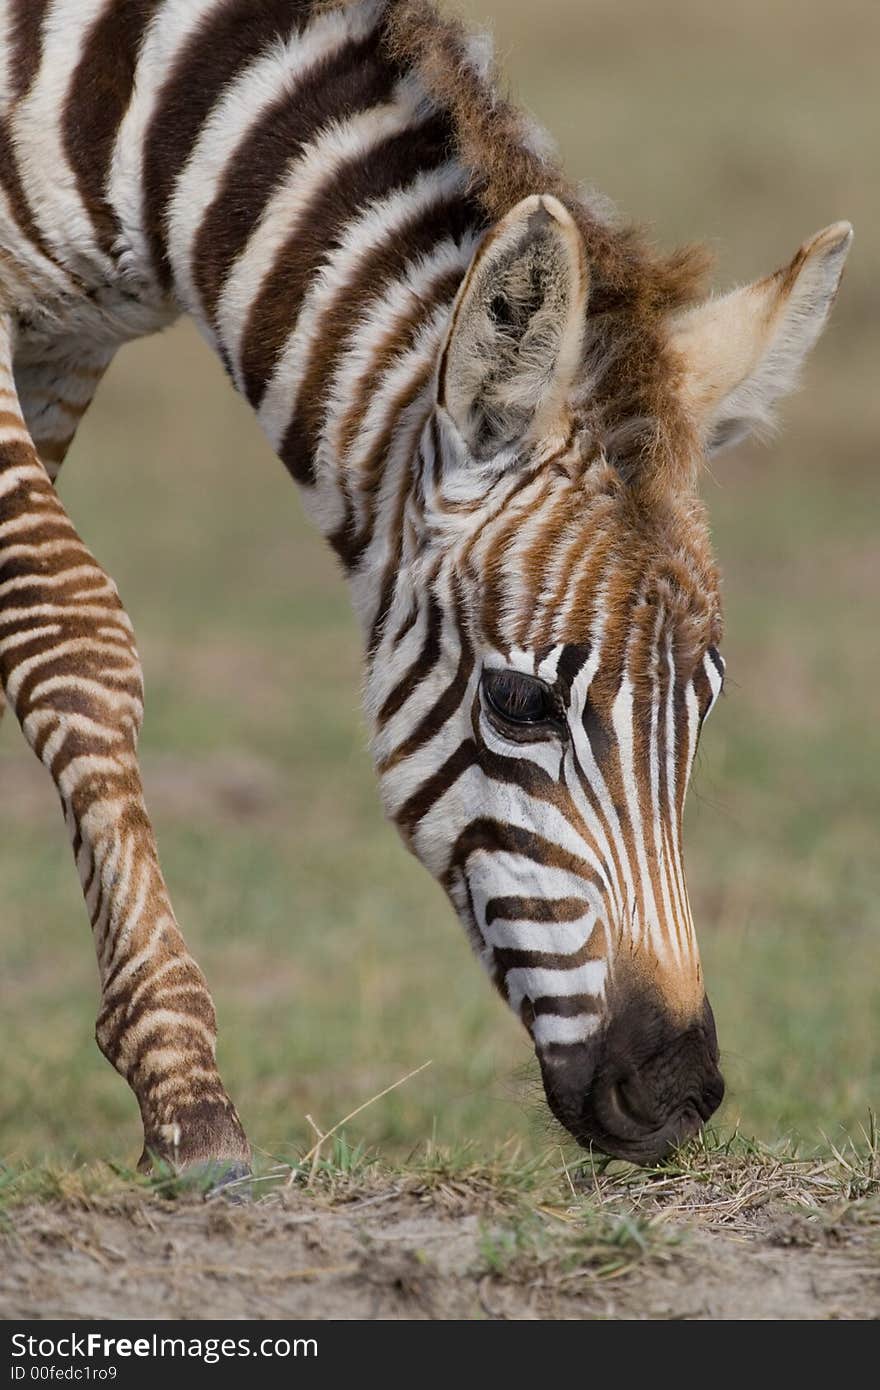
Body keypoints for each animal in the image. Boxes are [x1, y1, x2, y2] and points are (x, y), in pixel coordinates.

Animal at [0, 0, 850, 1173]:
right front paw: (187, 1100)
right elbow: (68, 623)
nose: (676, 1093)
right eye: (519, 701)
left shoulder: (64, 343)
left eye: (705, 704)